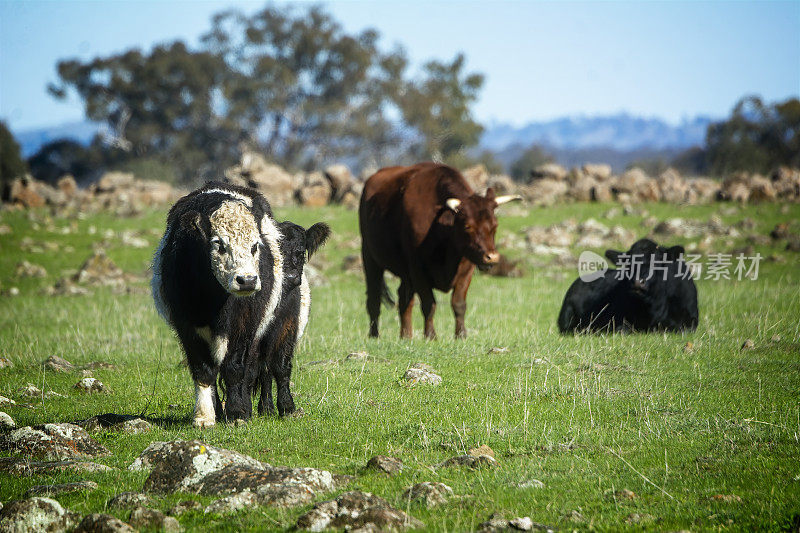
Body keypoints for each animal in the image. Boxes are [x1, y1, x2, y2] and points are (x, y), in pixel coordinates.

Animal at [256, 220, 332, 416]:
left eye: (301, 251)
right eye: (275, 251)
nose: (291, 277)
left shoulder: (287, 328)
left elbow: (280, 367)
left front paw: (286, 407)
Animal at [360, 160, 520, 338]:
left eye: (495, 225)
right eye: (468, 226)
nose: (491, 257)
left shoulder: (466, 269)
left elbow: (459, 304)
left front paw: (461, 335)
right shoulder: (418, 270)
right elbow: (429, 304)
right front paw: (430, 335)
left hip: (404, 273)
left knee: (404, 299)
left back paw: (406, 336)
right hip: (369, 257)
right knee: (374, 299)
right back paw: (374, 335)